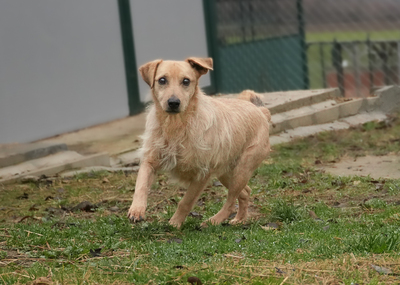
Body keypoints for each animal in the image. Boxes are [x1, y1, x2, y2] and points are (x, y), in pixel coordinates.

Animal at [128, 56, 272, 227]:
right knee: (245, 192)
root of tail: (261, 111)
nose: (173, 102)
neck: (176, 125)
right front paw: (137, 210)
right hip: (226, 173)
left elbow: (186, 202)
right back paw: (239, 219)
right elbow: (141, 185)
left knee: (231, 201)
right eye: (162, 80)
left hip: (242, 170)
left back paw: (213, 221)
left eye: (186, 81)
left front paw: (174, 224)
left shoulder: (202, 174)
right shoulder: (150, 160)